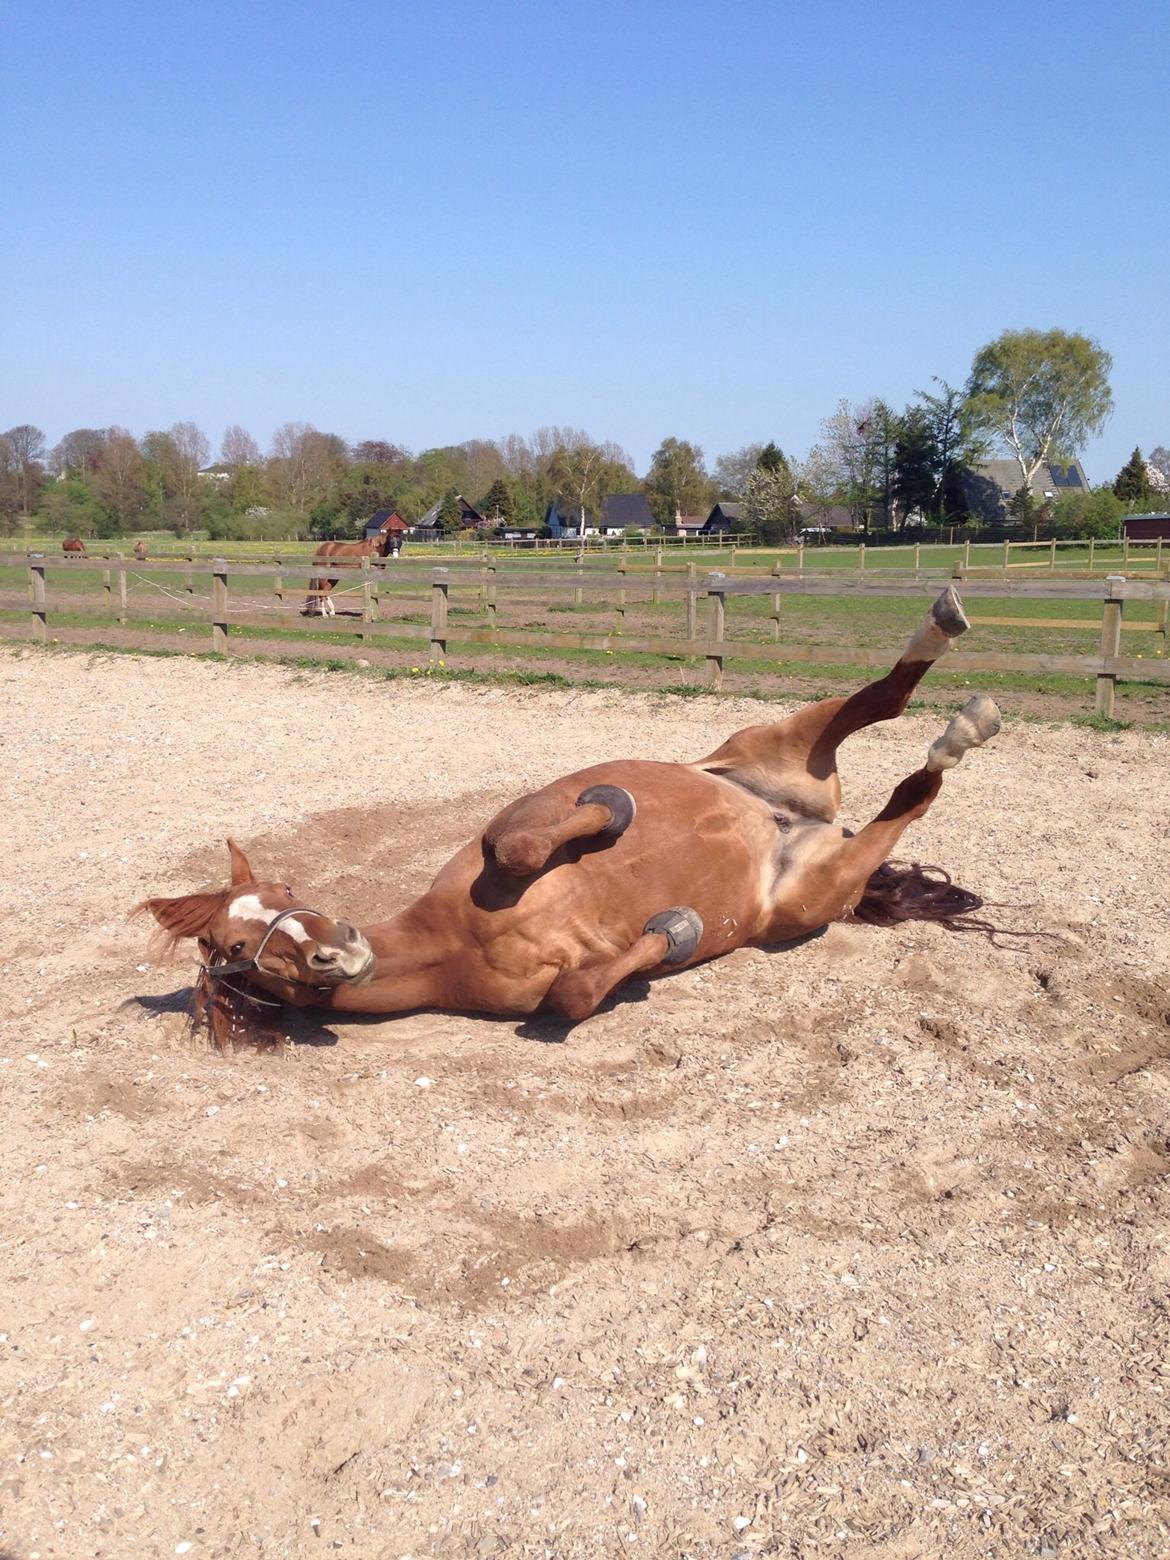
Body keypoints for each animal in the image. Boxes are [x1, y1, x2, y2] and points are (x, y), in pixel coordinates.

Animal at [139, 589, 1010, 1042]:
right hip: (815, 891)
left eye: (286, 893)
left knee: (883, 701)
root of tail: (800, 823)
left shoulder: (510, 829)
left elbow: (524, 842)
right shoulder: (559, 987)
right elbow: (578, 995)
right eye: (233, 947)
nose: (335, 948)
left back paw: (947, 639)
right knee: (911, 790)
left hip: (778, 744)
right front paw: (674, 932)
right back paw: (962, 729)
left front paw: (611, 813)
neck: (456, 941)